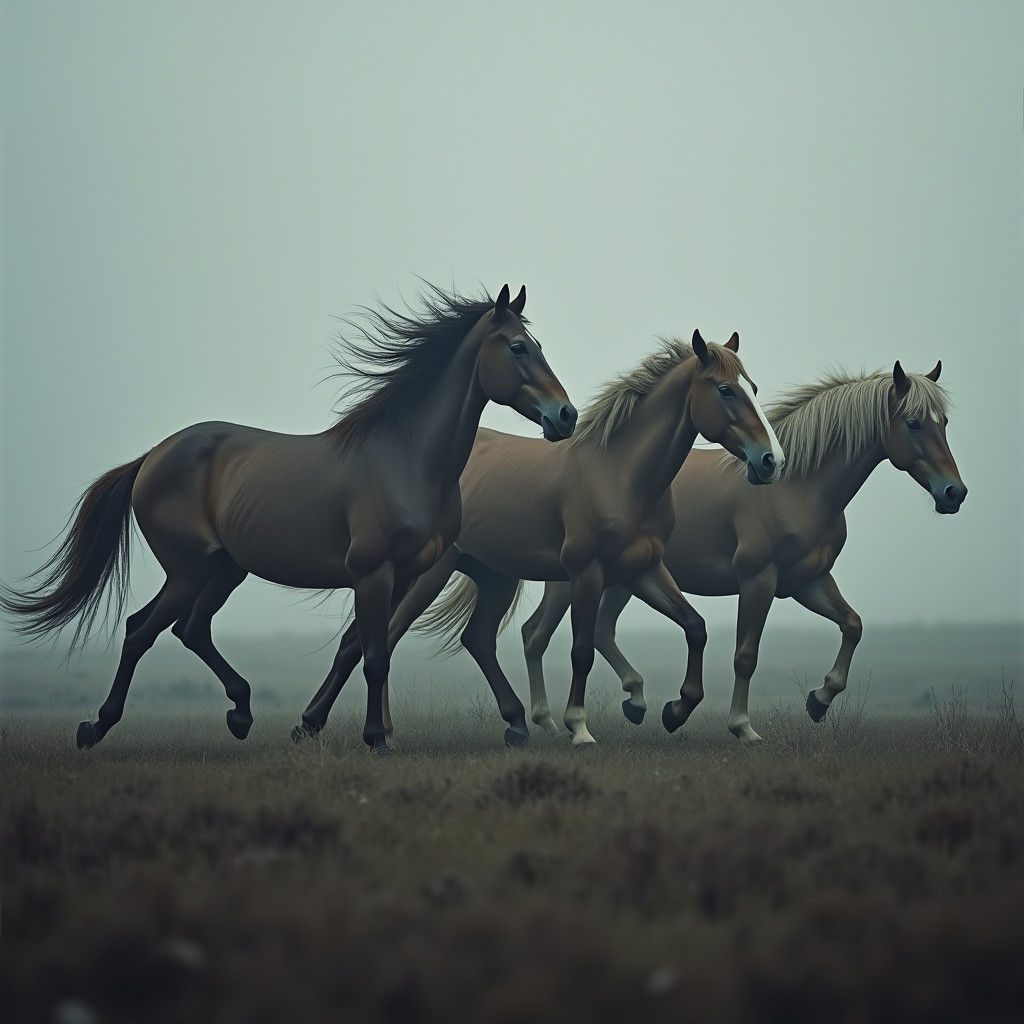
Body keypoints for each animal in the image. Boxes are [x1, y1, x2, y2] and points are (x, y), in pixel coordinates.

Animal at [2, 284, 578, 755]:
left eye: (541, 346)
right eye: (519, 347)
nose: (565, 416)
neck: (407, 461)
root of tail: (152, 457)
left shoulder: (404, 575)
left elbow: (357, 649)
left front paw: (313, 726)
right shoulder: (373, 574)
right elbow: (374, 654)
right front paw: (375, 740)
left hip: (224, 570)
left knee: (190, 629)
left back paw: (240, 713)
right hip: (188, 570)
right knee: (141, 630)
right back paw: (96, 726)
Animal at [293, 330, 785, 746]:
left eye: (754, 388)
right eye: (726, 390)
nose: (771, 461)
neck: (620, 475)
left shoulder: (643, 570)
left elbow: (695, 626)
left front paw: (671, 710)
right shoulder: (587, 573)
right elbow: (582, 650)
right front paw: (581, 728)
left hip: (493, 576)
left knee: (474, 639)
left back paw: (514, 725)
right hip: (424, 575)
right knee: (387, 637)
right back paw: (377, 732)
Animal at [518, 361, 966, 743]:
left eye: (944, 422)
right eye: (913, 423)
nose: (954, 493)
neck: (798, 487)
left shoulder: (808, 582)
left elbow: (853, 625)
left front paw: (819, 700)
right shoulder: (758, 580)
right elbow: (745, 655)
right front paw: (739, 725)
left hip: (624, 580)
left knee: (596, 631)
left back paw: (633, 701)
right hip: (578, 580)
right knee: (537, 634)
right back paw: (553, 721)